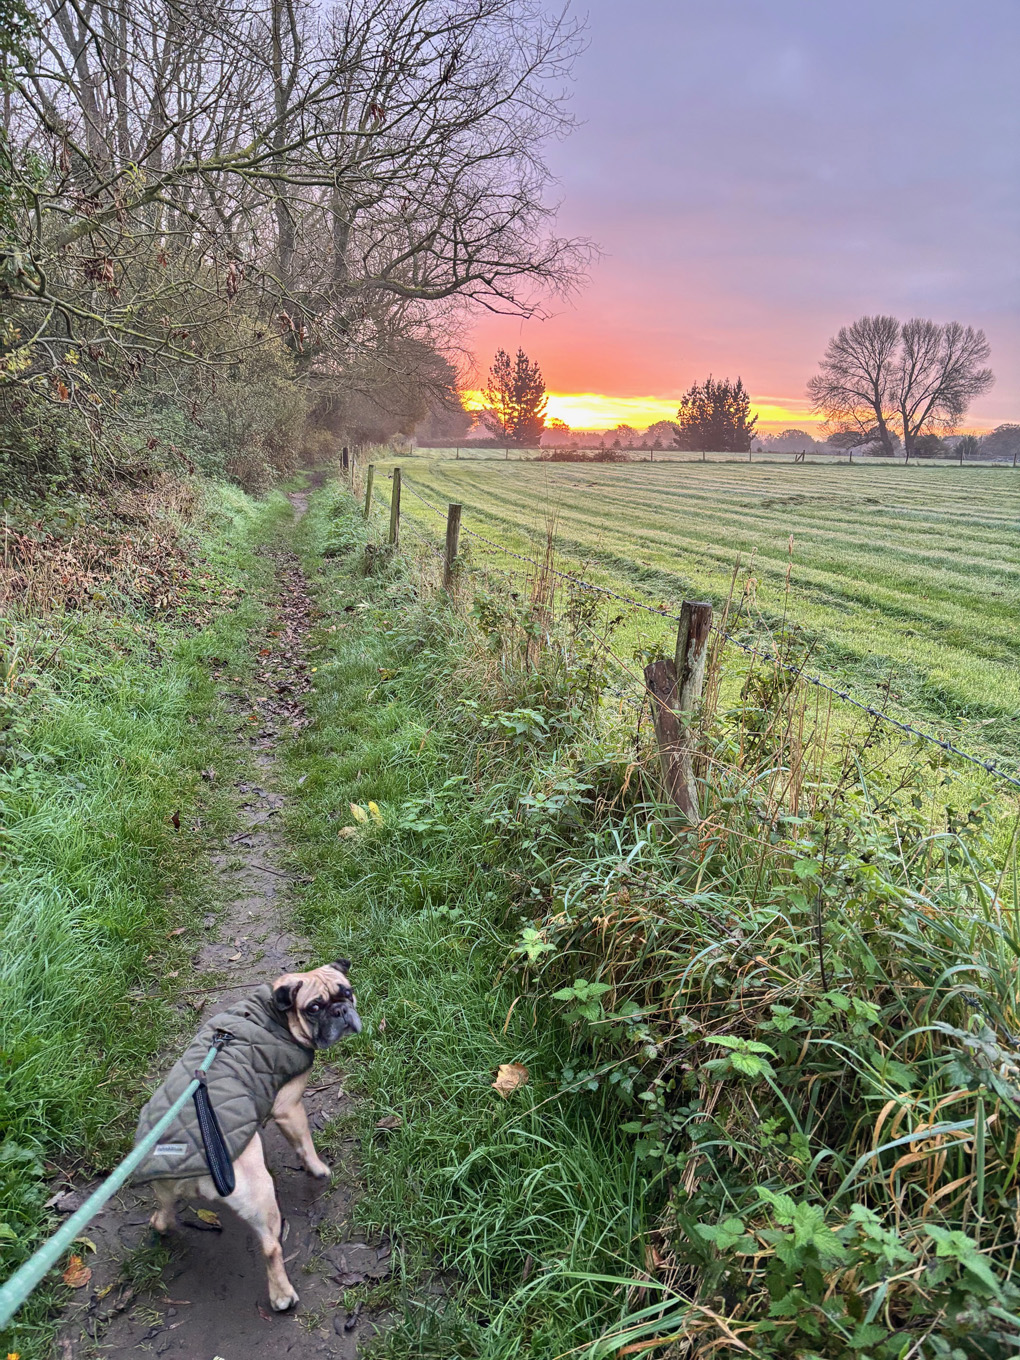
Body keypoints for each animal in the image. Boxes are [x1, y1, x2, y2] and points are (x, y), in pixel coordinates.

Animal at [133, 962, 361, 1311]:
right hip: (261, 1197)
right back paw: (282, 1295)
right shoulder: (289, 1108)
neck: (275, 1012)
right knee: (271, 1247)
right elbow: (304, 1144)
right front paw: (318, 1168)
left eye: (346, 992)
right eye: (314, 1008)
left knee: (162, 1216)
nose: (341, 1009)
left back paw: (163, 1227)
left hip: (164, 1188)